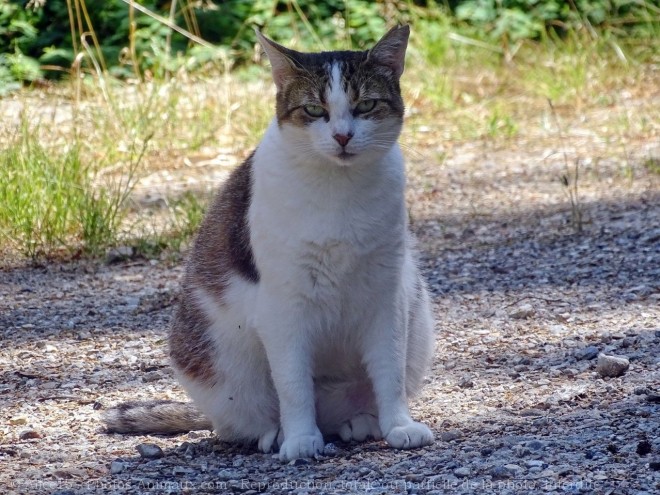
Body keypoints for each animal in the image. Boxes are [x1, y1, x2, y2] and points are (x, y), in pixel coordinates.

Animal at [103, 26, 436, 462]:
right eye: (314, 110)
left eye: (365, 105)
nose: (342, 136)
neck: (338, 188)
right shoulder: (284, 306)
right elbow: (293, 385)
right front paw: (299, 439)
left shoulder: (386, 295)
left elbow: (390, 370)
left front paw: (398, 425)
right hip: (211, 357)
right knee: (240, 420)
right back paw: (273, 434)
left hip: (417, 315)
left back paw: (359, 422)